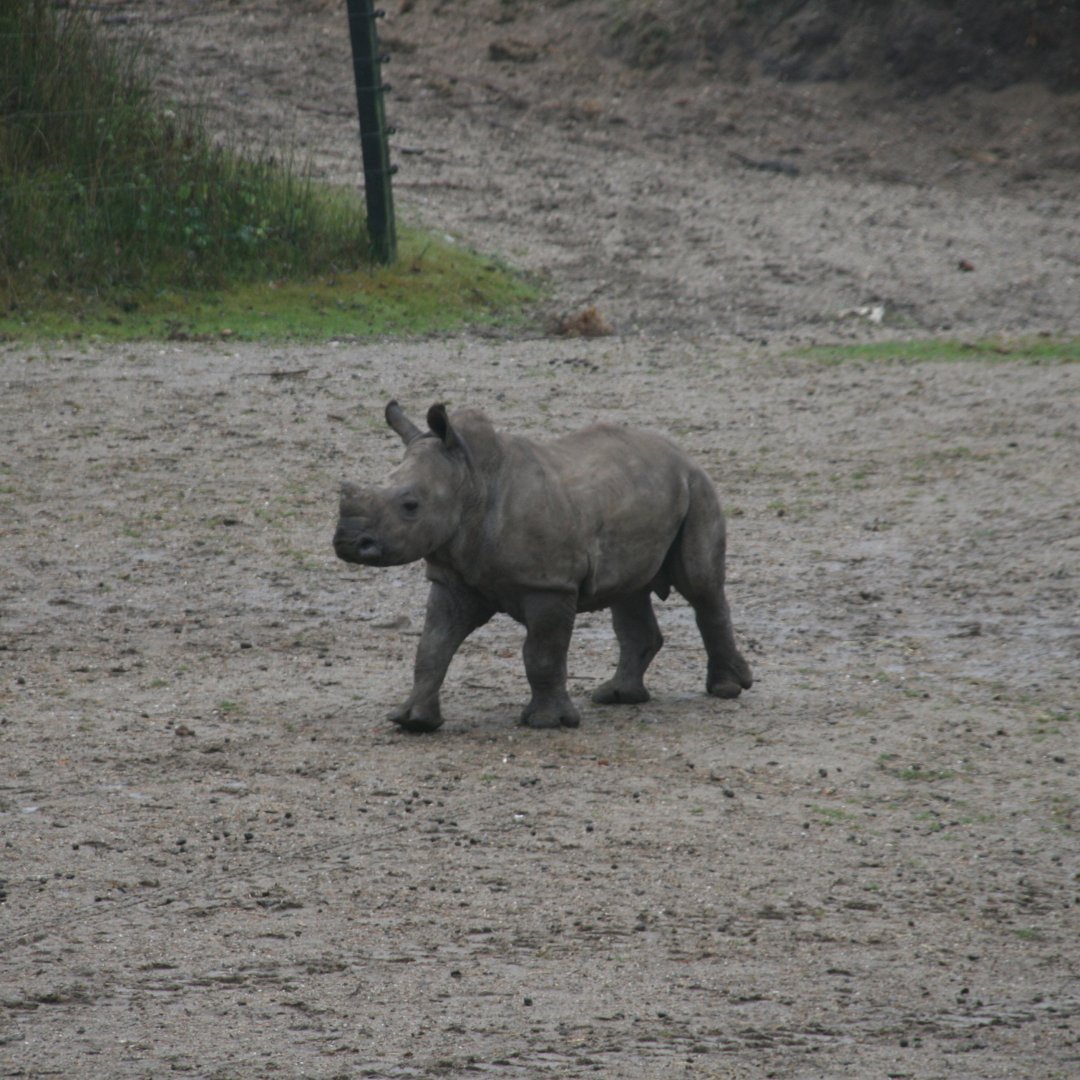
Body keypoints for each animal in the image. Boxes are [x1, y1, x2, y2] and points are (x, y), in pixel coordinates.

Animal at [333, 401, 752, 732]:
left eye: (410, 506)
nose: (347, 544)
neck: (470, 481)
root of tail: (681, 452)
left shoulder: (549, 585)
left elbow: (541, 652)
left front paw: (546, 723)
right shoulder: (454, 579)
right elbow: (432, 646)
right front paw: (413, 721)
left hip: (698, 489)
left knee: (701, 587)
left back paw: (727, 690)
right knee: (628, 592)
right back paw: (615, 696)